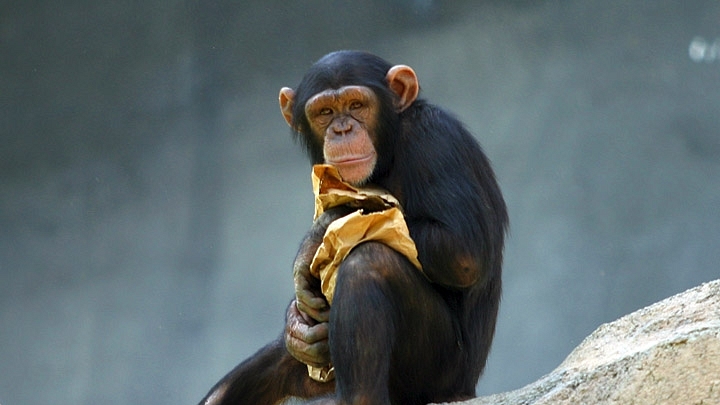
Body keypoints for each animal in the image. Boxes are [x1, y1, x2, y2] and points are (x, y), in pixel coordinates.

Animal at [200, 50, 510, 404]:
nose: (343, 128)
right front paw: (297, 326)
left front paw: (316, 236)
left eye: (357, 105)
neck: (390, 145)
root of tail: (467, 389)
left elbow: (462, 250)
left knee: (368, 263)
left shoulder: (436, 139)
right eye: (325, 112)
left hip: (440, 374)